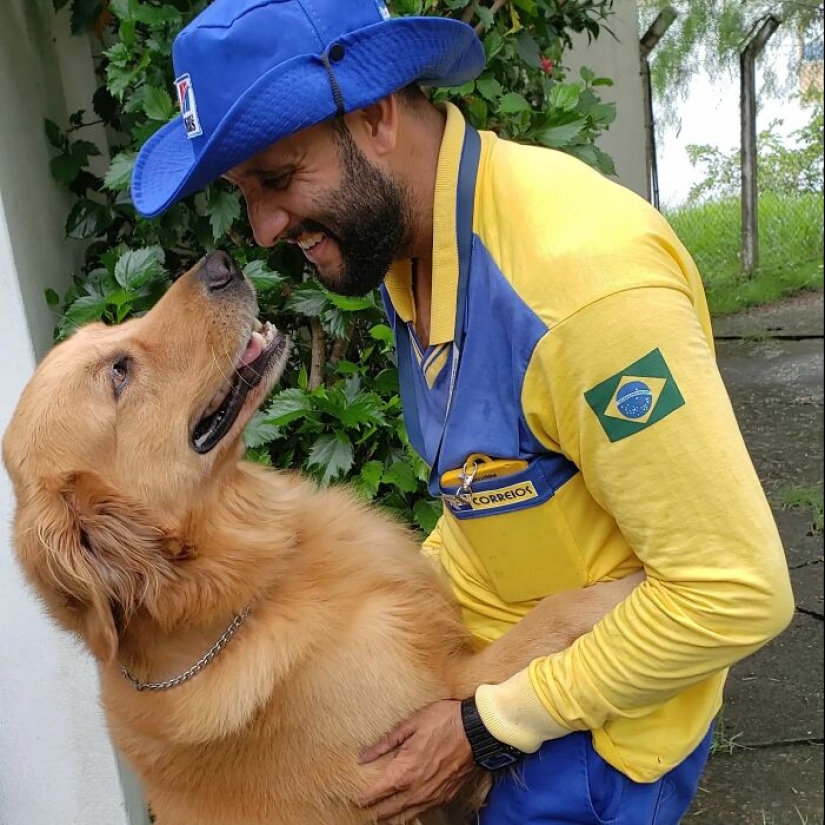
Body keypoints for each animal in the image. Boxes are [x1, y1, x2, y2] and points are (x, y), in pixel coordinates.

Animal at [3, 253, 640, 824]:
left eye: (108, 333)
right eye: (119, 372)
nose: (221, 262)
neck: (253, 589)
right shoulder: (434, 707)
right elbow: (544, 624)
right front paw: (618, 592)